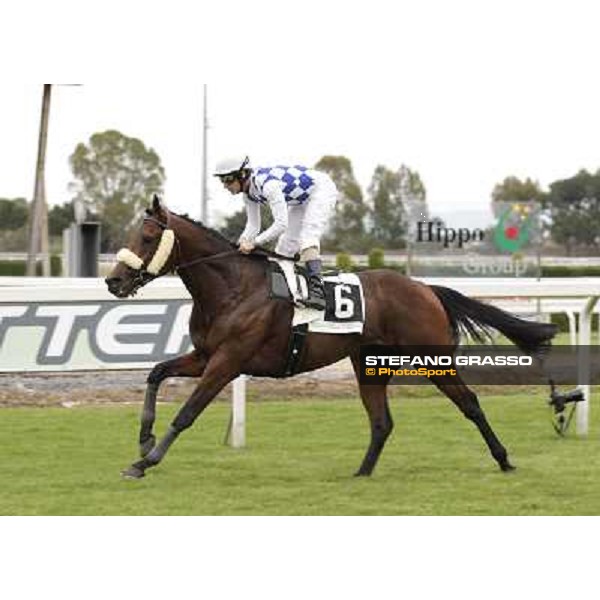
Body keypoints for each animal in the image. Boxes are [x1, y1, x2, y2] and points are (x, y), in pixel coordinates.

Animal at [104, 197, 556, 478]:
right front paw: (143, 440)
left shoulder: (228, 361)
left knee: (470, 403)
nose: (113, 280)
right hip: (369, 363)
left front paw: (145, 462)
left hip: (431, 358)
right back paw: (362, 472)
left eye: (147, 237)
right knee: (382, 421)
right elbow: (156, 373)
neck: (232, 286)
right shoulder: (205, 355)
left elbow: (188, 413)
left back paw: (504, 460)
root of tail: (425, 288)